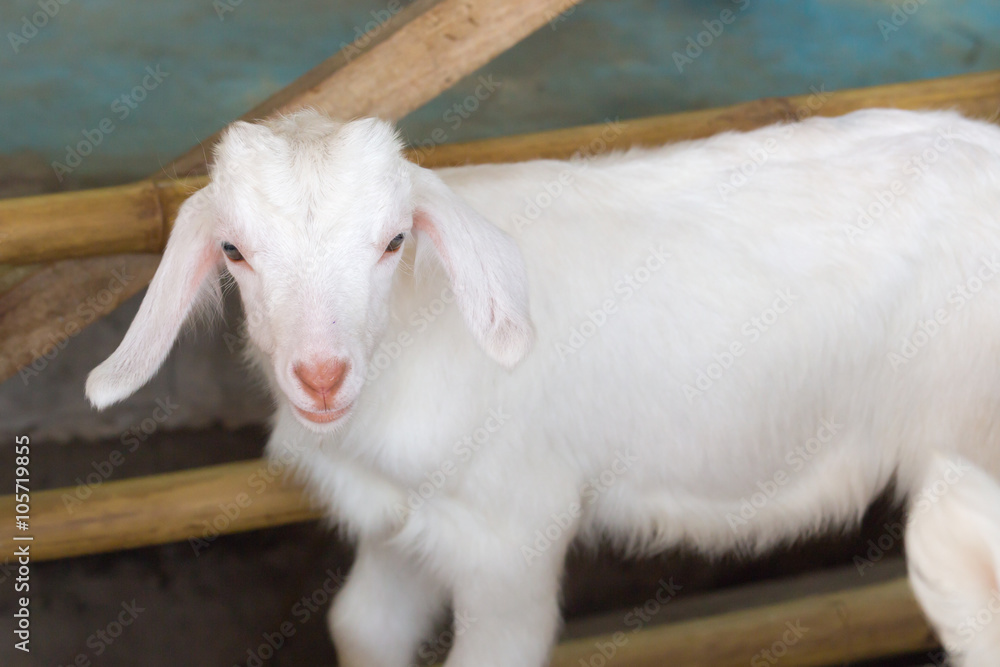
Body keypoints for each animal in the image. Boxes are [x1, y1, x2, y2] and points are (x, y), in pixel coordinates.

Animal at [87, 107, 1000, 666]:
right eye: (235, 251)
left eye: (393, 241)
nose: (321, 375)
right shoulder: (399, 517)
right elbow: (363, 626)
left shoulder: (511, 530)